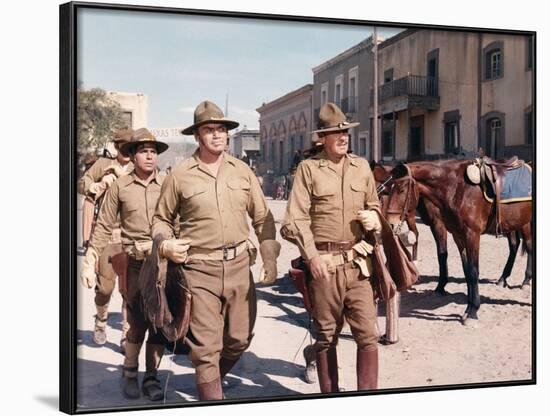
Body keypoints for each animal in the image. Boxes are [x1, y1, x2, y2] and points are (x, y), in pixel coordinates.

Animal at [386, 159, 532, 324]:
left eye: (402, 189)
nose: (390, 223)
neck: (457, 189)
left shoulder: (471, 235)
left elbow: (473, 271)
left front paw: (473, 311)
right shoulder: (458, 236)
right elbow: (466, 271)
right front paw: (468, 308)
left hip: (525, 224)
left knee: (528, 246)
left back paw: (525, 281)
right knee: (517, 246)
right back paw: (507, 279)